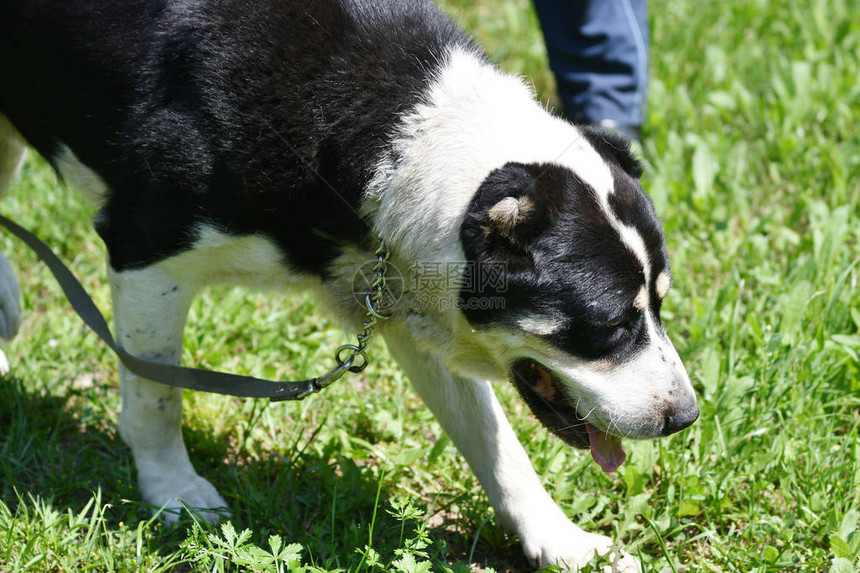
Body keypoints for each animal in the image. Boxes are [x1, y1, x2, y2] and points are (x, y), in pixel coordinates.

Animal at [0, 0, 700, 568]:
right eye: (610, 324)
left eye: (660, 305)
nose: (685, 418)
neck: (399, 133)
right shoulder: (147, 253)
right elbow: (156, 397)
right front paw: (173, 492)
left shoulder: (403, 296)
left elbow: (499, 448)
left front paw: (562, 543)